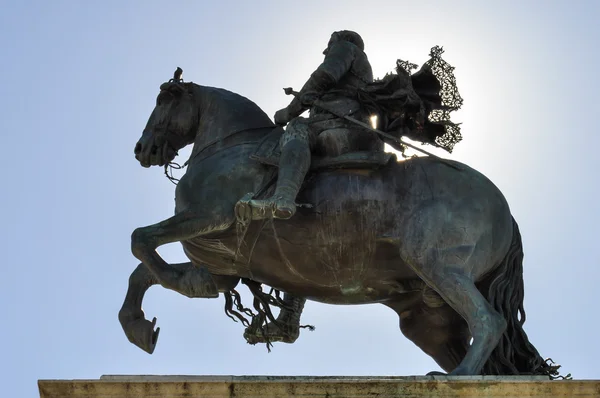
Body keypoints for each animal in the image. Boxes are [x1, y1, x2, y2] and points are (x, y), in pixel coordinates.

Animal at [119, 76, 560, 378]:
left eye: (163, 101)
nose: (142, 149)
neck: (230, 146)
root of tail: (505, 211)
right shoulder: (218, 271)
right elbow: (144, 272)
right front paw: (139, 327)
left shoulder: (209, 217)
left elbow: (141, 242)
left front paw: (162, 274)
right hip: (427, 317)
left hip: (438, 265)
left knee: (488, 320)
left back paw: (459, 377)